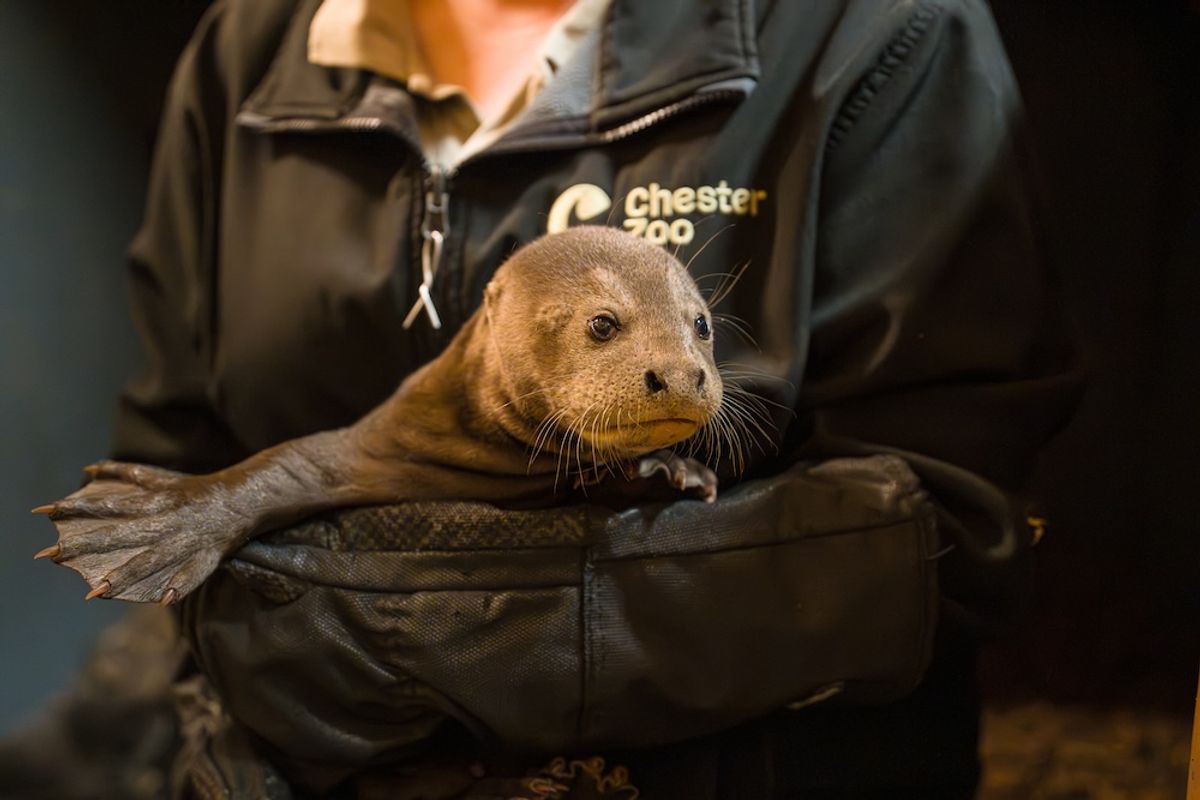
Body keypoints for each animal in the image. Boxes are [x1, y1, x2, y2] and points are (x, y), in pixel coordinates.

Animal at [33, 227, 736, 605]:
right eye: (602, 323)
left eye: (701, 324)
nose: (679, 375)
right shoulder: (379, 439)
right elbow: (278, 467)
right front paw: (156, 526)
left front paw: (672, 471)